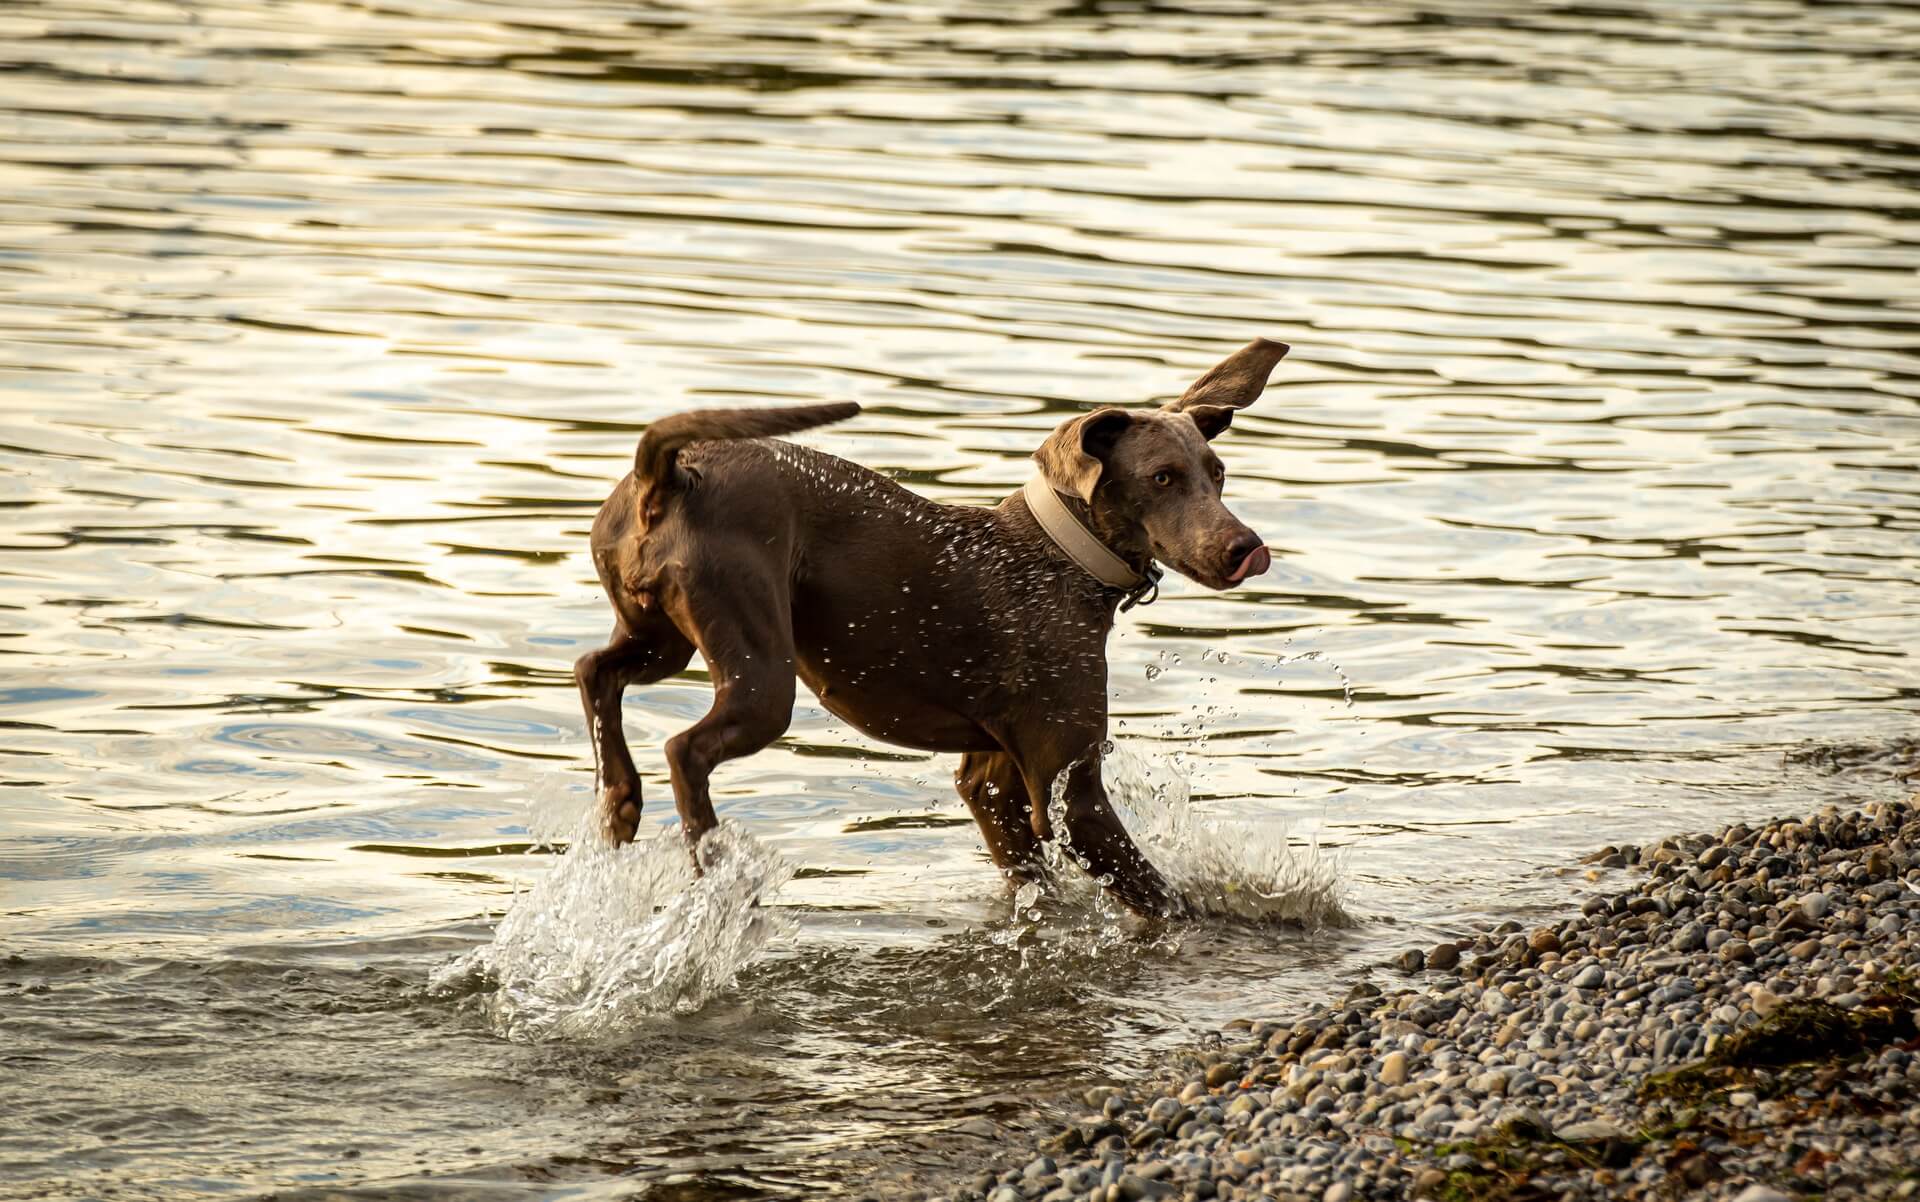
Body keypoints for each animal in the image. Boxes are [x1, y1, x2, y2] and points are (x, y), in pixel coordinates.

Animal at [568, 332, 1290, 913]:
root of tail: (672, 475)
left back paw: (621, 802)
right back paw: (713, 862)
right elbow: (1166, 901)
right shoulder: (1070, 790)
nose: (1245, 546)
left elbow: (1032, 881)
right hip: (760, 670)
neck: (1063, 560)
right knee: (683, 747)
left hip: (660, 634)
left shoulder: (990, 778)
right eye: (1162, 477)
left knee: (594, 670)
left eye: (1217, 474)